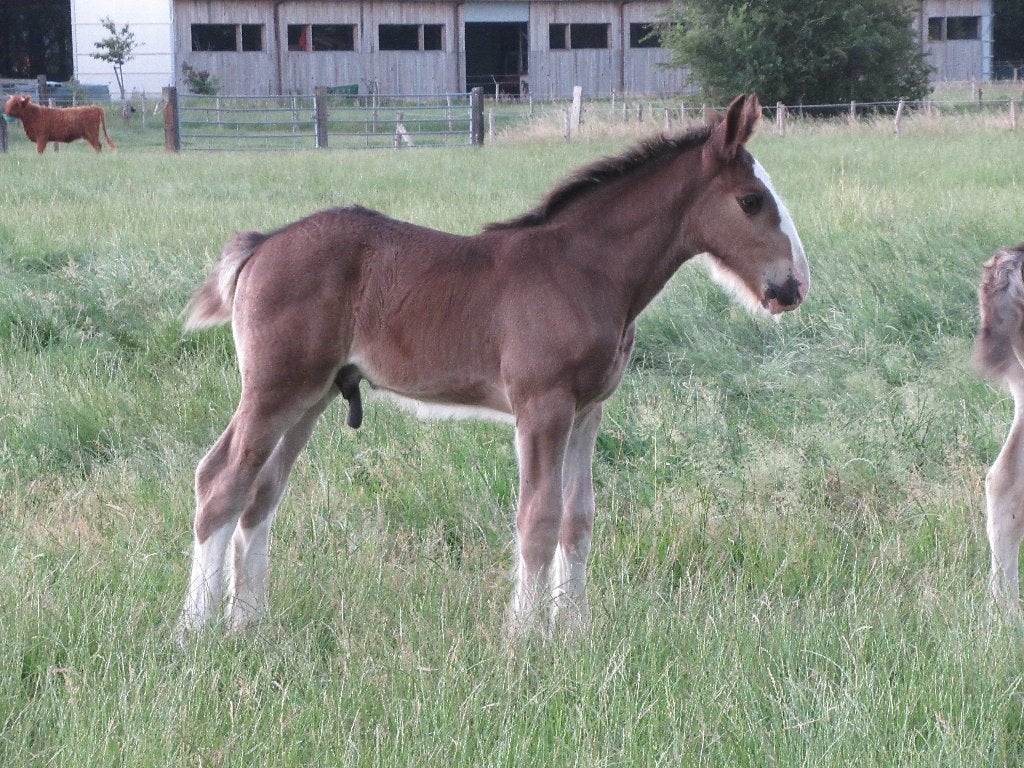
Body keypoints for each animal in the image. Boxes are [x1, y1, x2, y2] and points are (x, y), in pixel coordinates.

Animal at [176, 93, 810, 642]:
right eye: (751, 201)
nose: (793, 286)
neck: (584, 270)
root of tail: (262, 245)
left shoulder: (588, 411)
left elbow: (578, 518)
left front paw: (573, 632)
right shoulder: (542, 406)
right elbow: (538, 519)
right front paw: (523, 639)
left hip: (312, 396)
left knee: (261, 494)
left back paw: (248, 622)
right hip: (274, 389)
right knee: (220, 481)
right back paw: (194, 629)